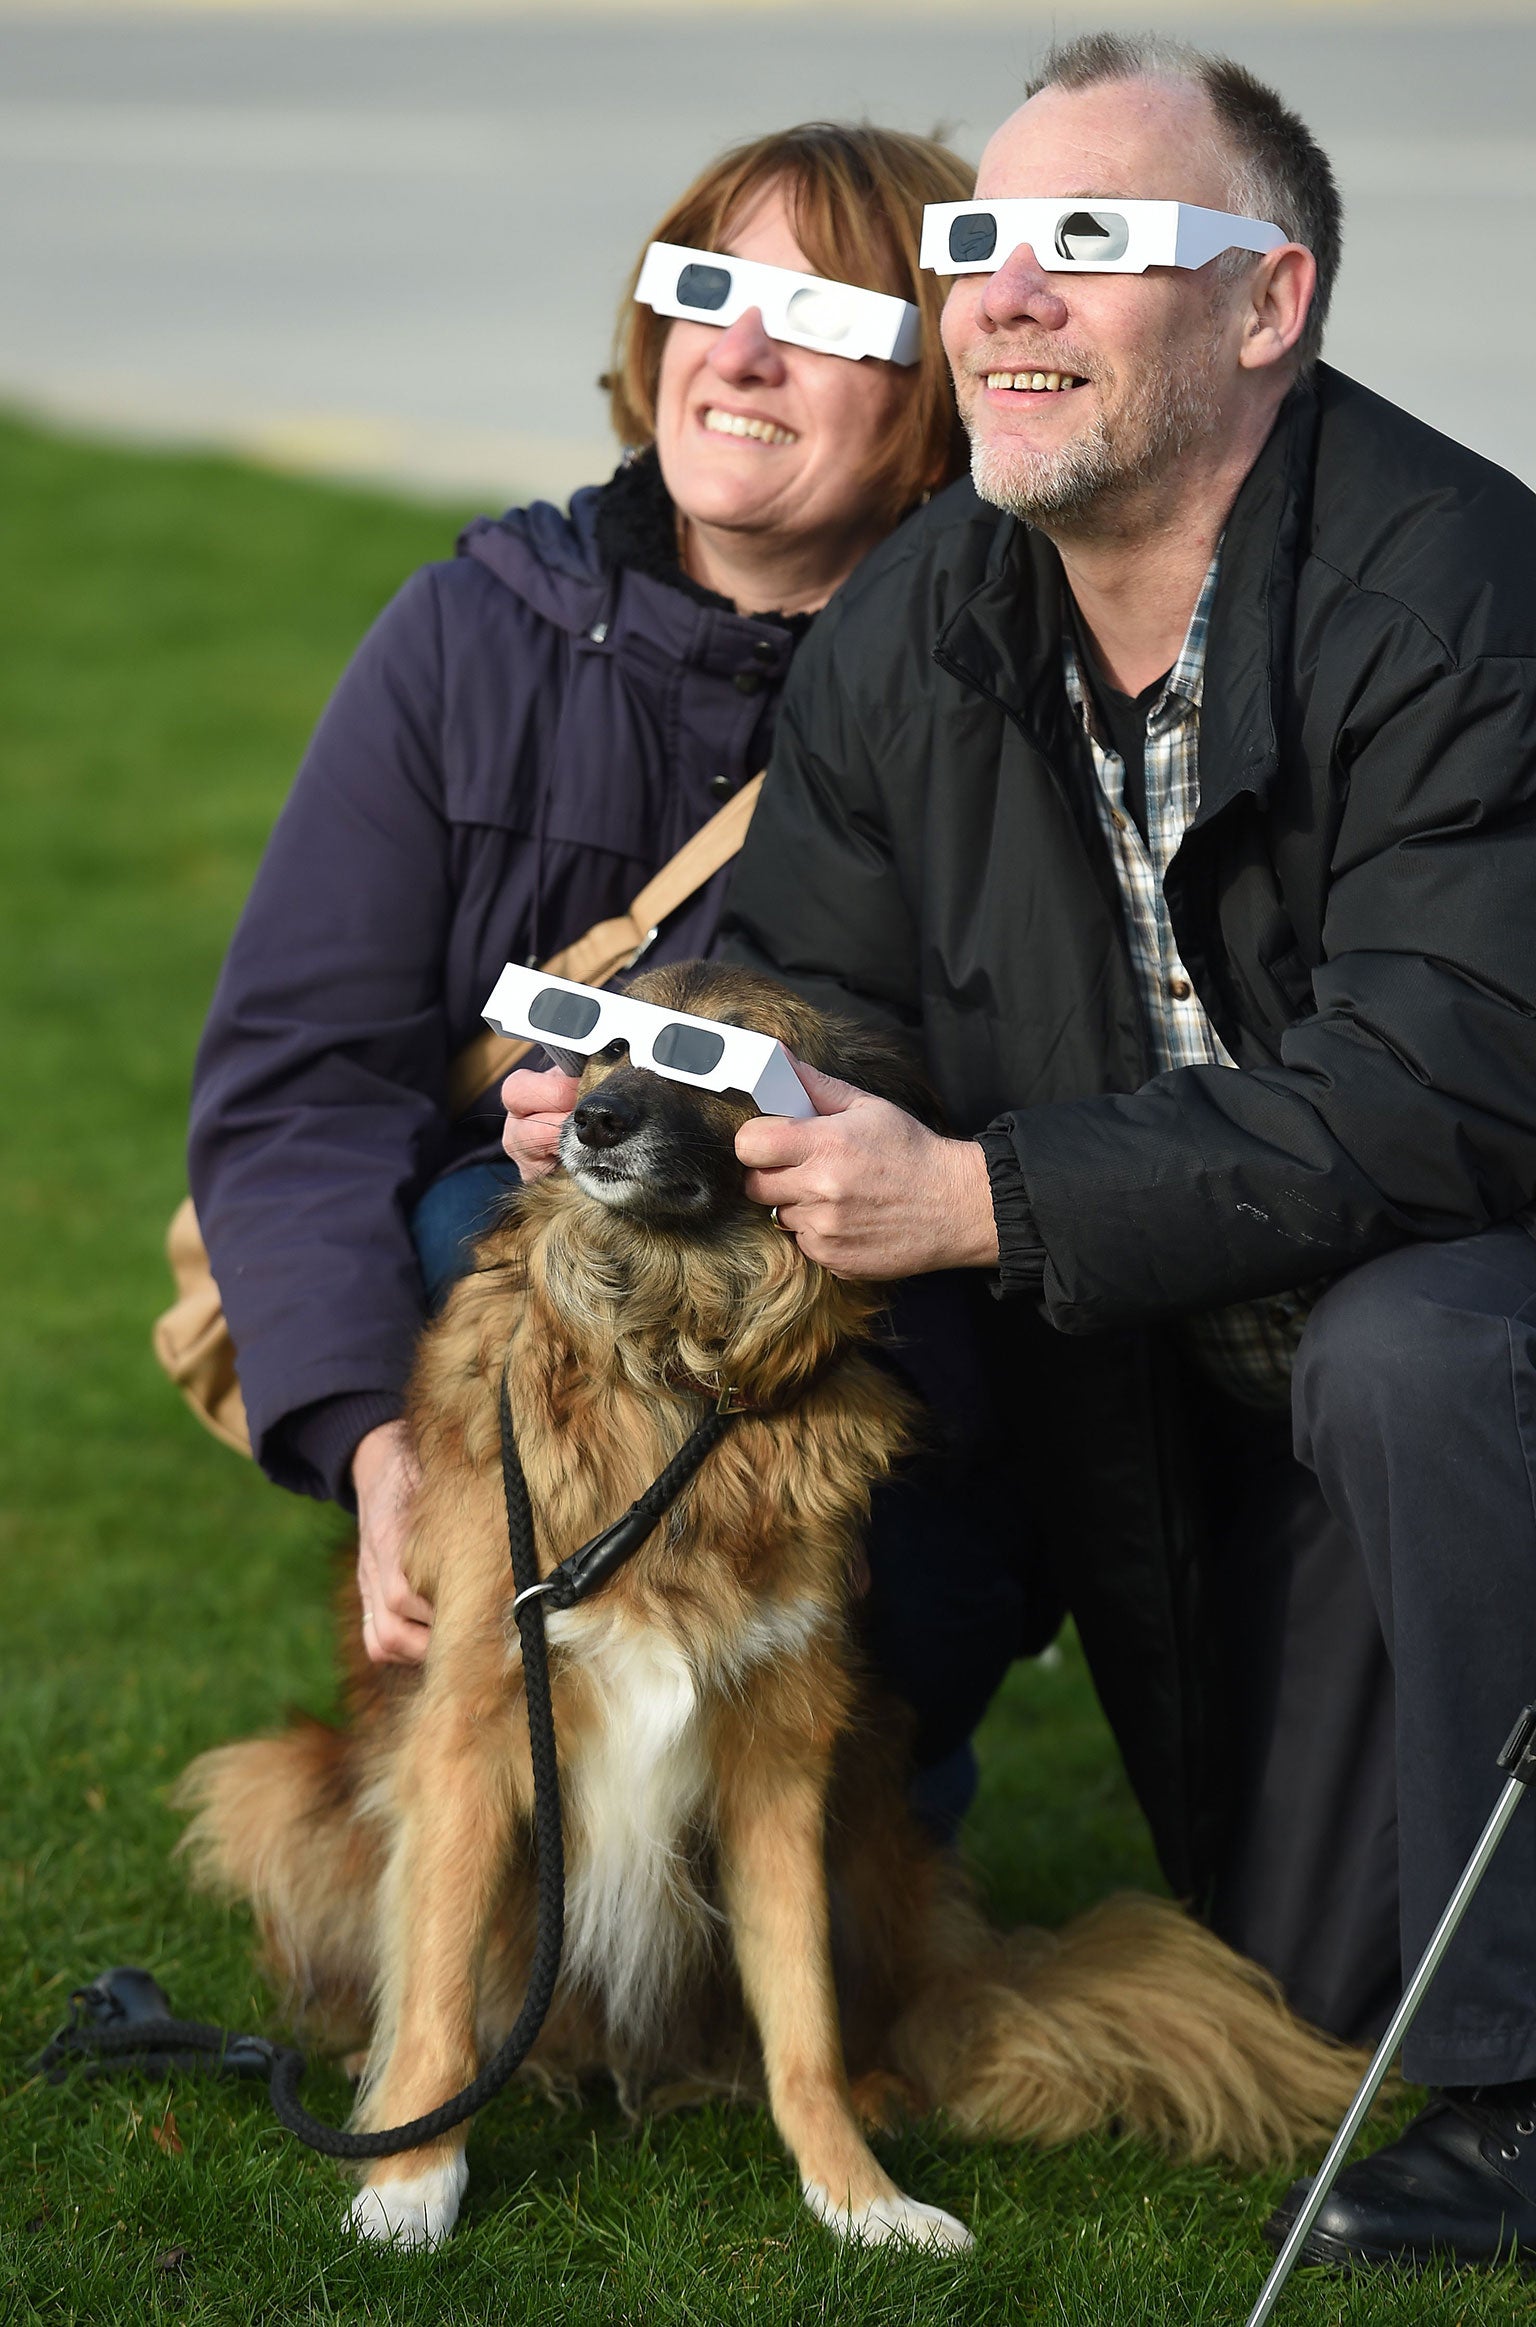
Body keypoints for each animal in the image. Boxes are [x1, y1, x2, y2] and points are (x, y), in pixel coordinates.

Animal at [174, 963, 1359, 2252]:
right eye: (599, 1042)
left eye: (718, 1063)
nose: (593, 1122)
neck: (672, 1355)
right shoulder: (476, 1727)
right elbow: (437, 1990)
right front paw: (409, 2181)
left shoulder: (780, 1759)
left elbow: (803, 2019)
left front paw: (859, 2194)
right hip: (277, 1789)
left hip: (875, 1829)